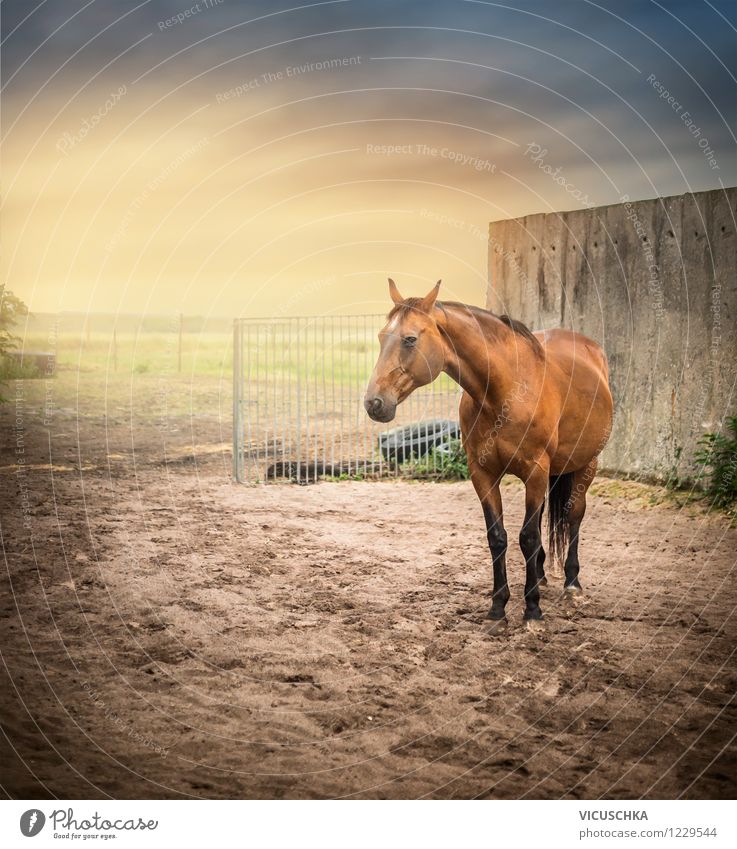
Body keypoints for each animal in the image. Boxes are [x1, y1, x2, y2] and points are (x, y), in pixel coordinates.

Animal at [366, 278, 612, 628]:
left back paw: (572, 585)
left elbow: (527, 537)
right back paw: (540, 576)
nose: (374, 403)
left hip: (585, 465)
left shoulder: (535, 471)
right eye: (381, 337)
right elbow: (498, 536)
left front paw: (532, 610)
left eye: (410, 339)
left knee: (573, 516)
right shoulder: (483, 474)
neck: (505, 390)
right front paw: (498, 608)